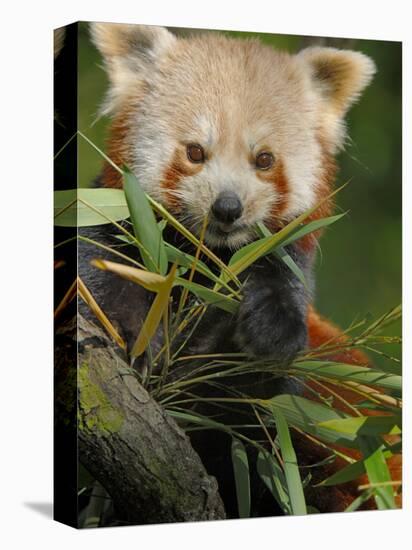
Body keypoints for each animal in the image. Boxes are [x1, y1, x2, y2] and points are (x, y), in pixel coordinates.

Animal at [77, 23, 400, 520]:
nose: (227, 208)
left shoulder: (279, 267)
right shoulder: (117, 230)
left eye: (264, 159)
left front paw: (267, 332)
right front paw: (131, 336)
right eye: (195, 152)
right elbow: (100, 283)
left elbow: (255, 392)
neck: (206, 260)